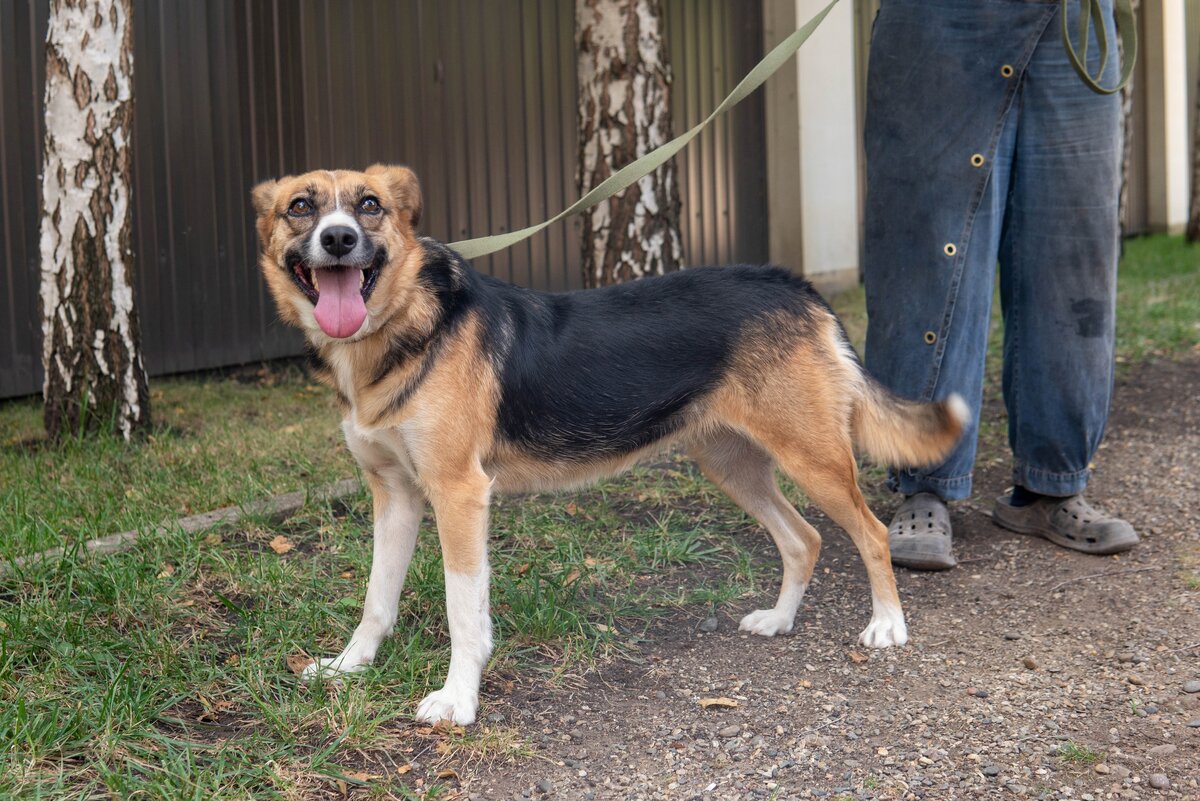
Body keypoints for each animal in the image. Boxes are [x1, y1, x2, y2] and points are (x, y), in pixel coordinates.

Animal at [248, 164, 969, 724]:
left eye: (370, 204)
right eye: (300, 206)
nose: (338, 238)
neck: (398, 331)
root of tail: (793, 283)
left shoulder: (459, 493)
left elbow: (463, 611)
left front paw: (457, 700)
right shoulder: (395, 494)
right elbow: (376, 598)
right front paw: (348, 667)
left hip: (811, 456)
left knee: (870, 532)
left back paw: (887, 625)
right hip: (731, 462)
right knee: (805, 538)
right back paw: (779, 620)